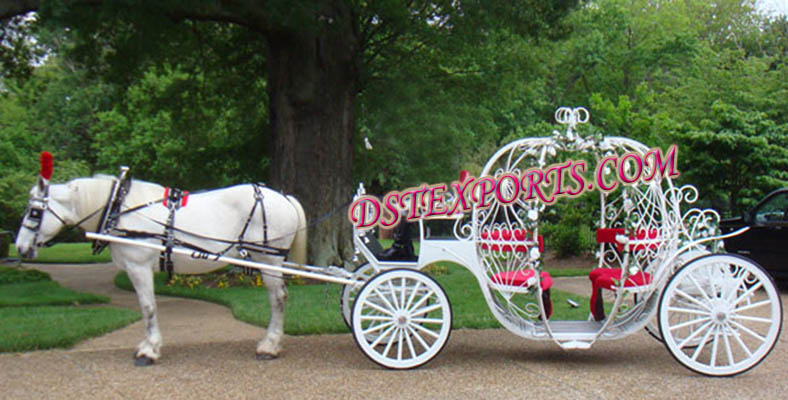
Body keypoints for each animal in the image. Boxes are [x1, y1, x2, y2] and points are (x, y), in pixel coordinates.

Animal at [16, 170, 304, 364]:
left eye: (33, 212)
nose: (19, 247)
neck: (119, 209)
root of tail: (284, 197)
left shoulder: (138, 267)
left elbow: (148, 307)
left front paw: (149, 350)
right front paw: (148, 345)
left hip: (268, 260)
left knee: (278, 298)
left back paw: (269, 346)